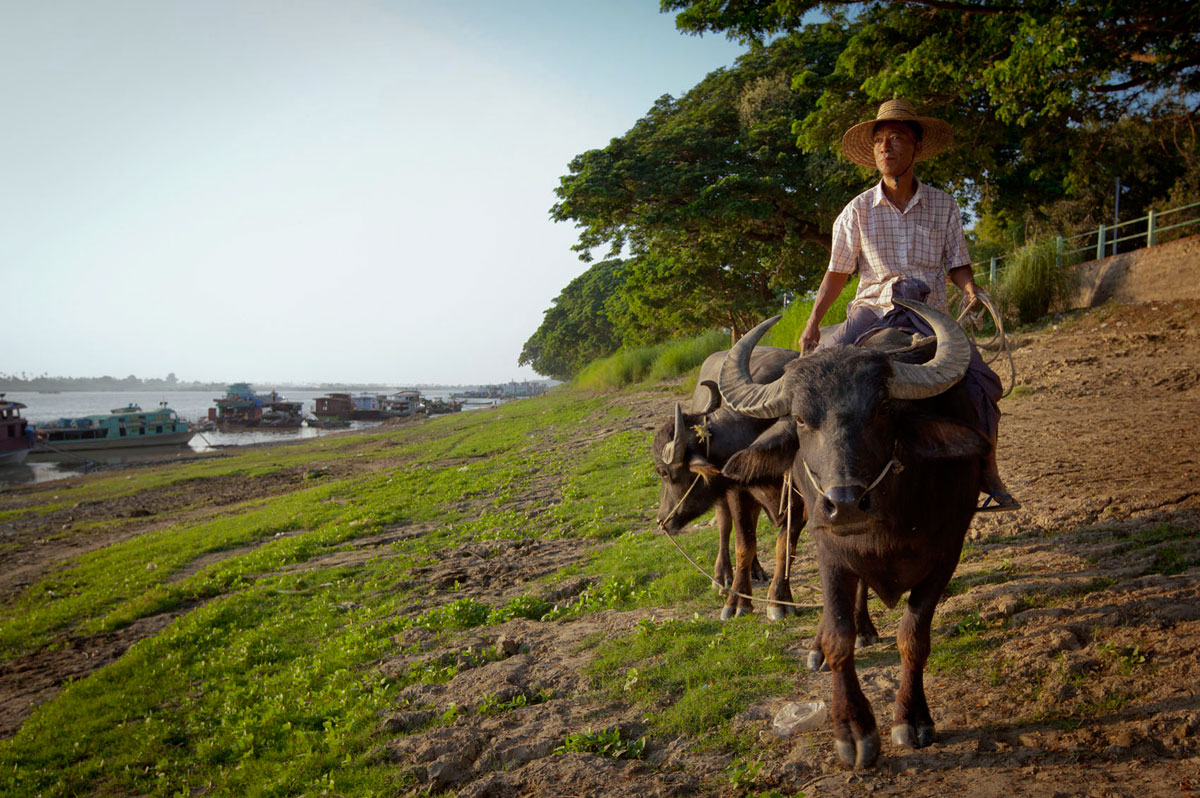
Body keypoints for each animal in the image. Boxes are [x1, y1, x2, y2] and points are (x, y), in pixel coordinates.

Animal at [720, 298, 984, 768]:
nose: (843, 504)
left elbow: (914, 636)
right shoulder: (830, 551)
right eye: (800, 419)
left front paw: (912, 718)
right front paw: (854, 729)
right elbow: (838, 636)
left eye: (882, 409)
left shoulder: (946, 552)